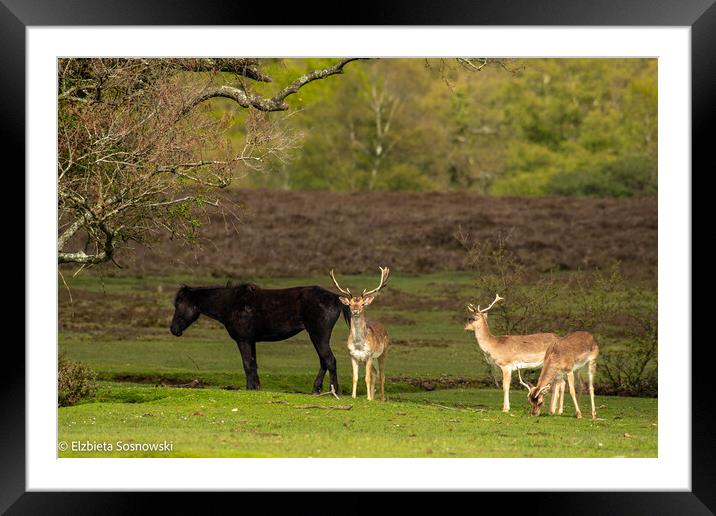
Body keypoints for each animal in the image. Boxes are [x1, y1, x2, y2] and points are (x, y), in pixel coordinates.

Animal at [332, 268, 392, 402]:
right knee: (375, 373)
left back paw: (382, 399)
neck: (359, 345)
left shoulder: (369, 355)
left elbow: (367, 378)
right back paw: (374, 397)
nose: (355, 311)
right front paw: (354, 396)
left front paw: (368, 398)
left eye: (363, 304)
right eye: (349, 304)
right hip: (369, 359)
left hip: (383, 353)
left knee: (382, 375)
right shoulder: (353, 356)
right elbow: (355, 377)